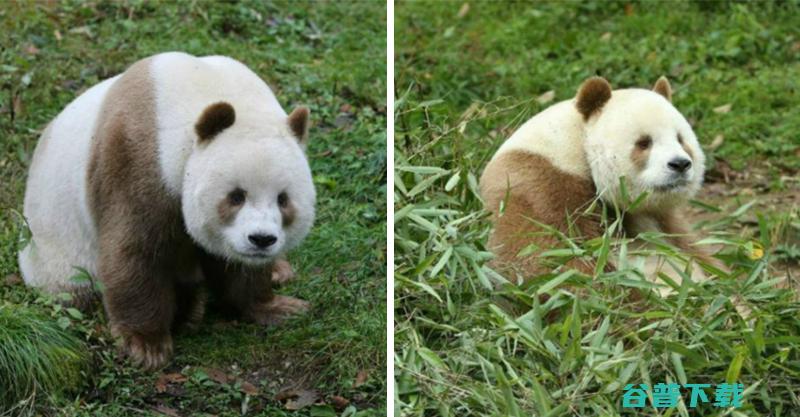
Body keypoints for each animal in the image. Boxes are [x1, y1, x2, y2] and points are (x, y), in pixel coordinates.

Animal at [18, 52, 316, 368]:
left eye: (283, 199)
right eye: (236, 196)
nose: (261, 239)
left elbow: (239, 269)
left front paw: (279, 307)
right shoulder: (136, 159)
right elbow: (137, 251)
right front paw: (146, 345)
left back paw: (279, 271)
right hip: (58, 252)